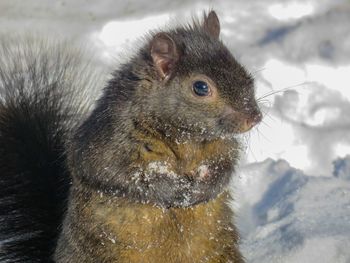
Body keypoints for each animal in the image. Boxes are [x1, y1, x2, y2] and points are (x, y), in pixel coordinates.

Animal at [0, 10, 260, 263]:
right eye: (201, 87)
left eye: (243, 72)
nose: (254, 117)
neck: (185, 135)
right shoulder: (108, 144)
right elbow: (125, 176)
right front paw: (176, 190)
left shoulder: (222, 145)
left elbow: (225, 165)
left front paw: (208, 185)